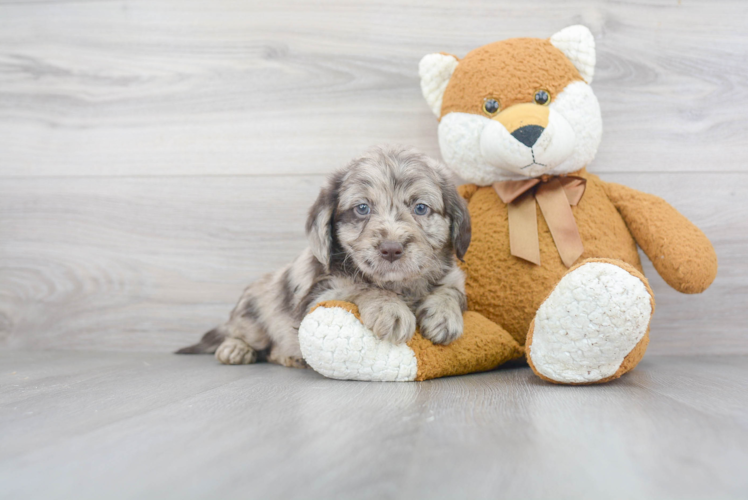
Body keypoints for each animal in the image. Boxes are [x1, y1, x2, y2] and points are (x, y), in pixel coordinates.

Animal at [178, 145, 470, 368]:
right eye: (362, 208)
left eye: (420, 208)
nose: (391, 249)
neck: (401, 285)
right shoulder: (320, 295)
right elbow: (360, 285)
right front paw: (390, 309)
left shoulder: (455, 277)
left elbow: (451, 289)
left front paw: (444, 314)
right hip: (253, 315)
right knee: (243, 335)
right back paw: (236, 349)